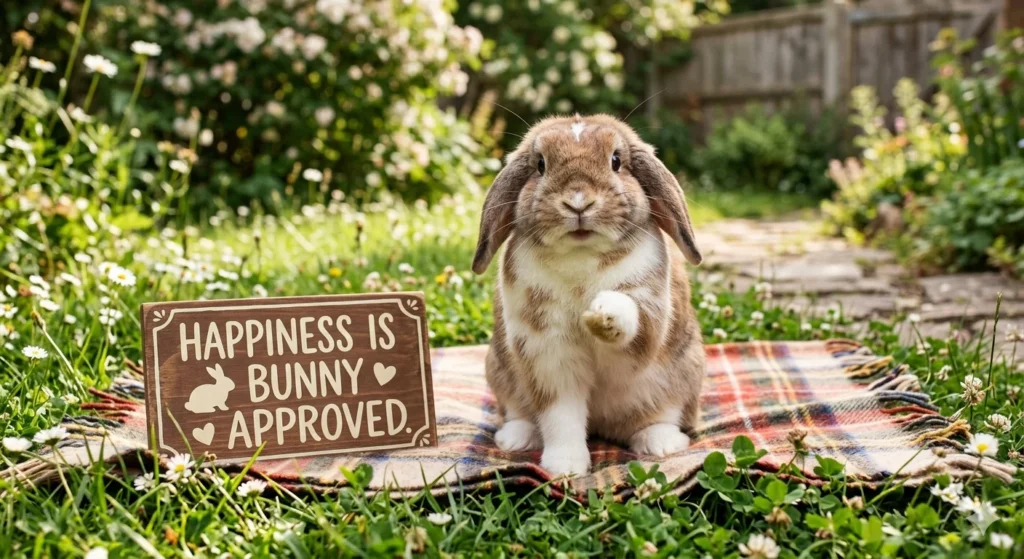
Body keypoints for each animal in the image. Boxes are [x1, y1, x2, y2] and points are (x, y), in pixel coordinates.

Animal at [472, 114, 705, 476]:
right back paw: (516, 438)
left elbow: (632, 321)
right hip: (498, 371)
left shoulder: (648, 315)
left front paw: (603, 314)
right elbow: (561, 415)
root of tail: (603, 427)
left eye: (616, 161)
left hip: (686, 373)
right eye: (541, 165)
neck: (581, 255)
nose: (578, 202)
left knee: (662, 417)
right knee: (520, 412)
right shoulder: (548, 353)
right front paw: (564, 467)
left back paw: (661, 443)